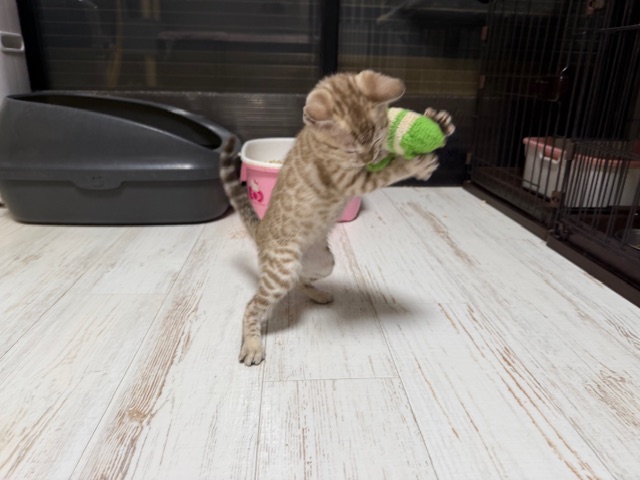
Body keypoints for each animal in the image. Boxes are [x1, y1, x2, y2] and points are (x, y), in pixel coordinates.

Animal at [220, 70, 455, 365]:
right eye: (352, 150)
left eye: (376, 139)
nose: (369, 156)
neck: (321, 142)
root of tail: (261, 231)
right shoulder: (349, 179)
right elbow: (386, 171)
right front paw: (411, 164)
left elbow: (387, 157)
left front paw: (440, 123)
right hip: (281, 269)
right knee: (253, 306)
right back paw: (252, 344)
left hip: (323, 262)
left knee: (300, 281)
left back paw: (318, 294)